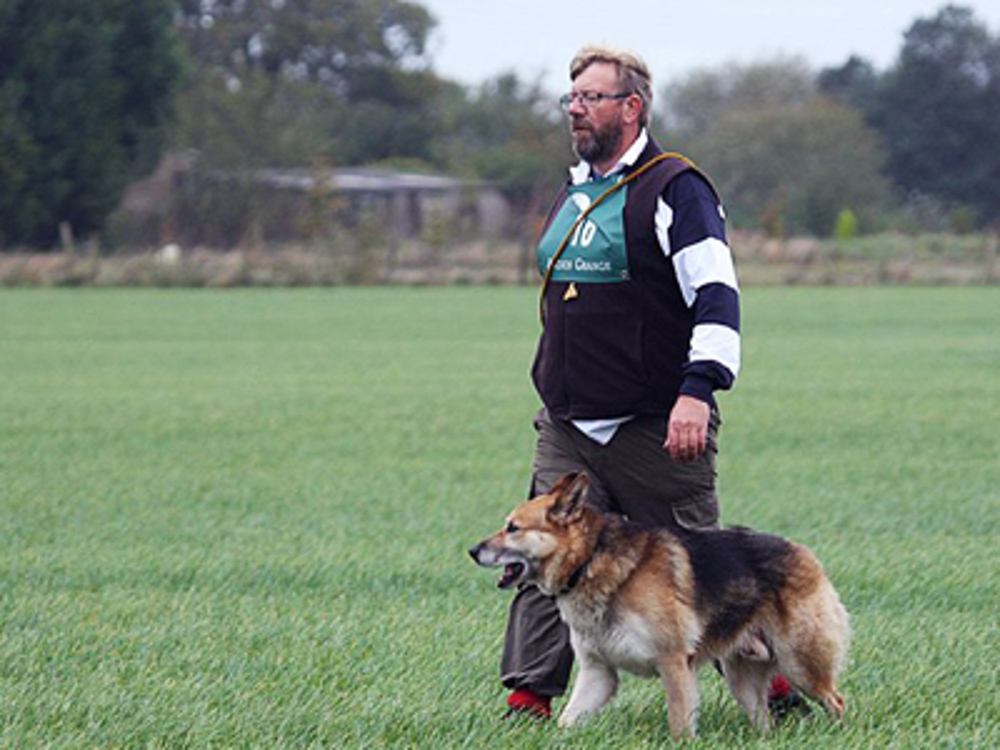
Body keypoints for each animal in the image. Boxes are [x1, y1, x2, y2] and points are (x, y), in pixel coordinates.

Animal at [470, 476, 852, 740]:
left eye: (513, 528)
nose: (472, 551)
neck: (589, 560)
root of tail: (804, 553)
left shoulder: (674, 663)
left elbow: (680, 724)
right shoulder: (598, 673)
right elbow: (568, 719)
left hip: (801, 664)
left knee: (837, 701)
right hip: (742, 679)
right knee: (764, 717)